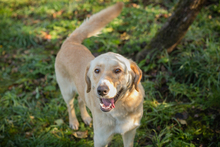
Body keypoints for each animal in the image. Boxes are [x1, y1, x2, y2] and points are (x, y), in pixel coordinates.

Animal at [55, 2, 144, 147]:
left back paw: (86, 117)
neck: (119, 111)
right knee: (70, 105)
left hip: (82, 88)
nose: (101, 90)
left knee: (81, 99)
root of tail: (71, 42)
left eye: (118, 70)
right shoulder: (101, 139)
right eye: (96, 70)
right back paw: (74, 122)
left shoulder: (129, 133)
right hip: (66, 91)